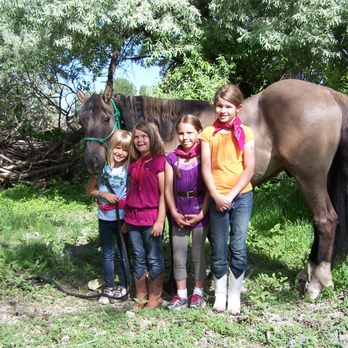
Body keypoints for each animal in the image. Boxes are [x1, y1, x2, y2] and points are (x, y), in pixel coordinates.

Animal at [79, 79, 348, 300]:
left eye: (106, 118)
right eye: (81, 121)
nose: (92, 162)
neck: (170, 132)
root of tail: (329, 93)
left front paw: (172, 283)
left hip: (309, 178)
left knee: (325, 220)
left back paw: (317, 282)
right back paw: (308, 272)